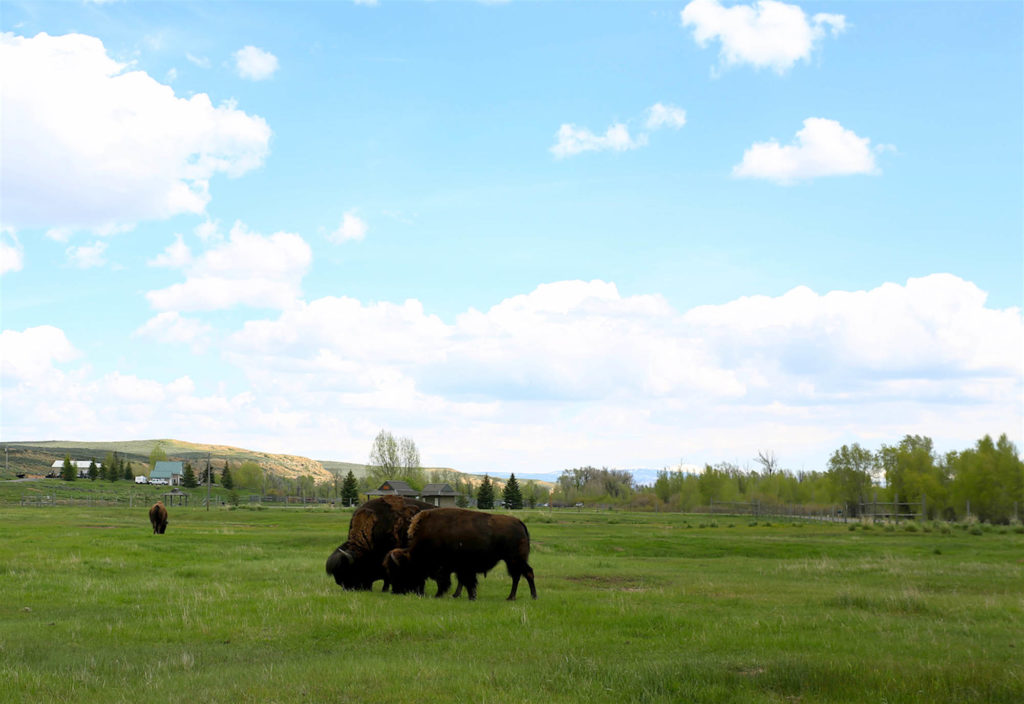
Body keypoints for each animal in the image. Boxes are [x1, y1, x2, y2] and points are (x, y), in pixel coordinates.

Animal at [382, 505, 536, 597]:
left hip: (515, 560)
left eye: (399, 570)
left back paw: (529, 596)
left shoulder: (449, 568)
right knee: (518, 576)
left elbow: (449, 581)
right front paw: (461, 595)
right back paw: (515, 597)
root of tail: (519, 523)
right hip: (513, 561)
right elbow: (462, 581)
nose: (395, 591)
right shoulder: (460, 568)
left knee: (525, 574)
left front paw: (441, 595)